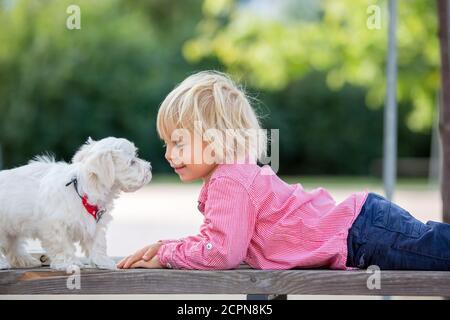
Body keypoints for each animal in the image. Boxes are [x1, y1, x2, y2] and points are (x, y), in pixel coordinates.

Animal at [0, 138, 153, 270]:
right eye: (132, 162)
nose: (150, 168)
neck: (82, 190)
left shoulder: (95, 222)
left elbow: (98, 242)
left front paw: (102, 261)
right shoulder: (55, 226)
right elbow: (63, 245)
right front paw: (69, 263)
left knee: (12, 244)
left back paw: (24, 260)